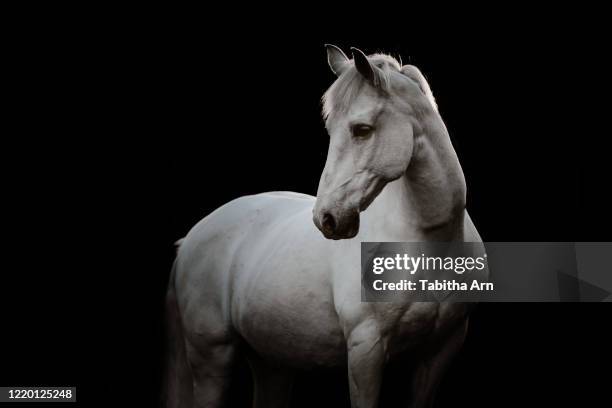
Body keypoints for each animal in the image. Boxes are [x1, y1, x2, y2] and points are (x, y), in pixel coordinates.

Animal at [165, 45, 480, 408]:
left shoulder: (441, 349)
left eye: (361, 129)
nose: (326, 219)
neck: (428, 241)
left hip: (271, 361)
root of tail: (192, 237)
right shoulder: (366, 349)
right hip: (212, 359)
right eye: (331, 130)